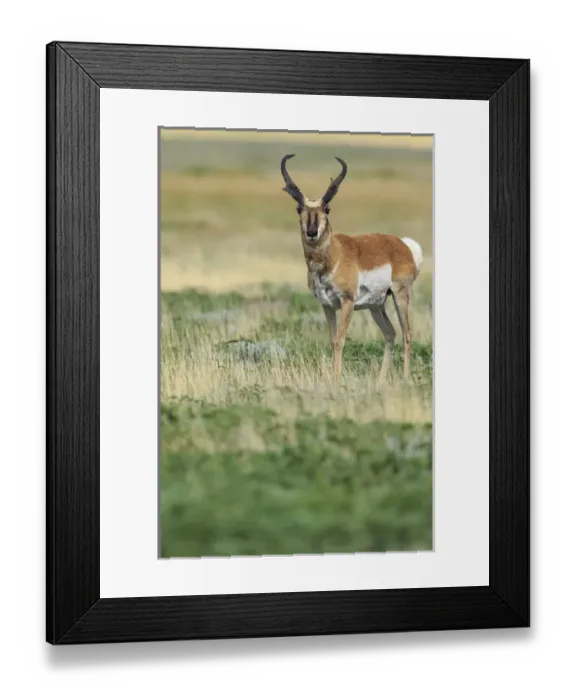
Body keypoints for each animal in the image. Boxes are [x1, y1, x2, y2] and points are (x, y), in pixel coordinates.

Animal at [280, 154, 424, 382]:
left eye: (327, 209)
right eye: (299, 209)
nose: (312, 232)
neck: (335, 255)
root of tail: (403, 245)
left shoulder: (347, 303)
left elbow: (340, 340)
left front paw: (337, 379)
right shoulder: (327, 305)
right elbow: (332, 340)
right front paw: (332, 377)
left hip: (400, 295)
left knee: (406, 333)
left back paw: (405, 377)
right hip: (376, 305)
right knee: (390, 333)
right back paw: (380, 381)